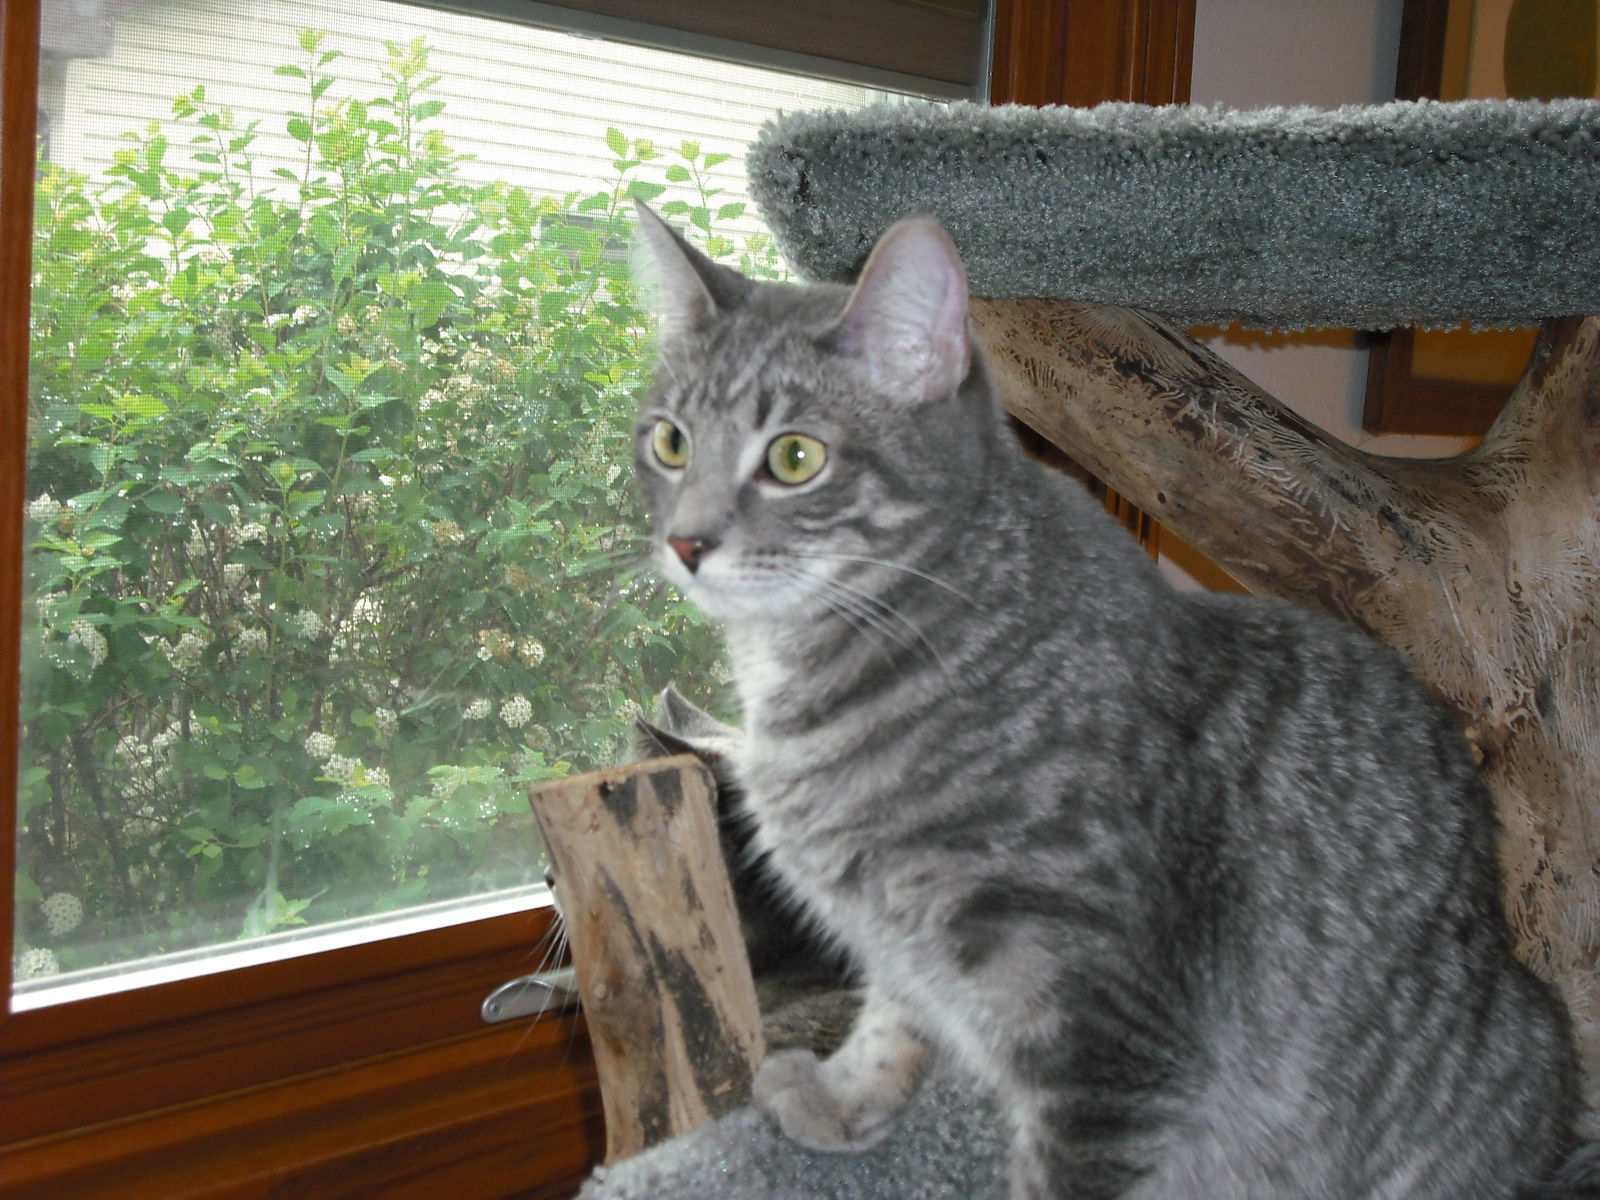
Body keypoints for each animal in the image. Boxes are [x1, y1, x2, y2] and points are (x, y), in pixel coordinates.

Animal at [630, 202, 1593, 1196]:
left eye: (794, 458)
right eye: (669, 441)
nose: (686, 543)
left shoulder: (1102, 1036)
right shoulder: (903, 936)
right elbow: (893, 1013)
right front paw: (845, 1094)